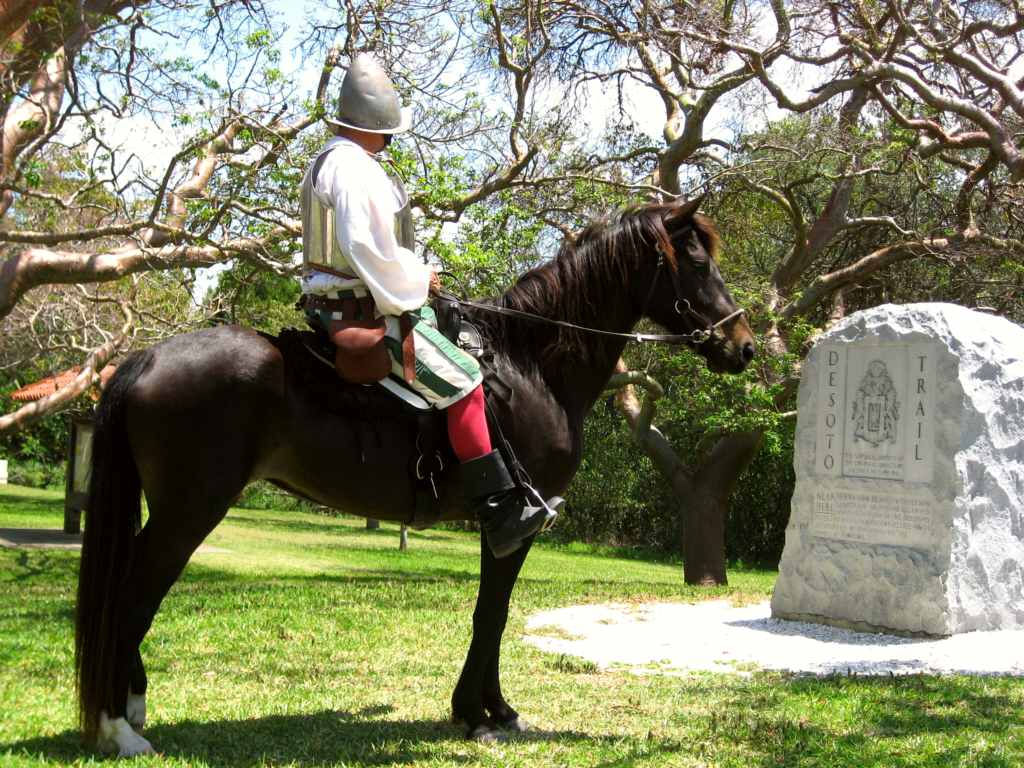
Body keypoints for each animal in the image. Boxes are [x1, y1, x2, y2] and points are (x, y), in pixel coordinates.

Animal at [74, 196, 756, 756]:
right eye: (697, 262)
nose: (745, 345)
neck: (533, 366)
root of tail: (146, 358)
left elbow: (490, 614)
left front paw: (483, 709)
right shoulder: (515, 525)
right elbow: (493, 614)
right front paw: (484, 714)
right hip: (187, 513)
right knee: (130, 599)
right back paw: (119, 729)